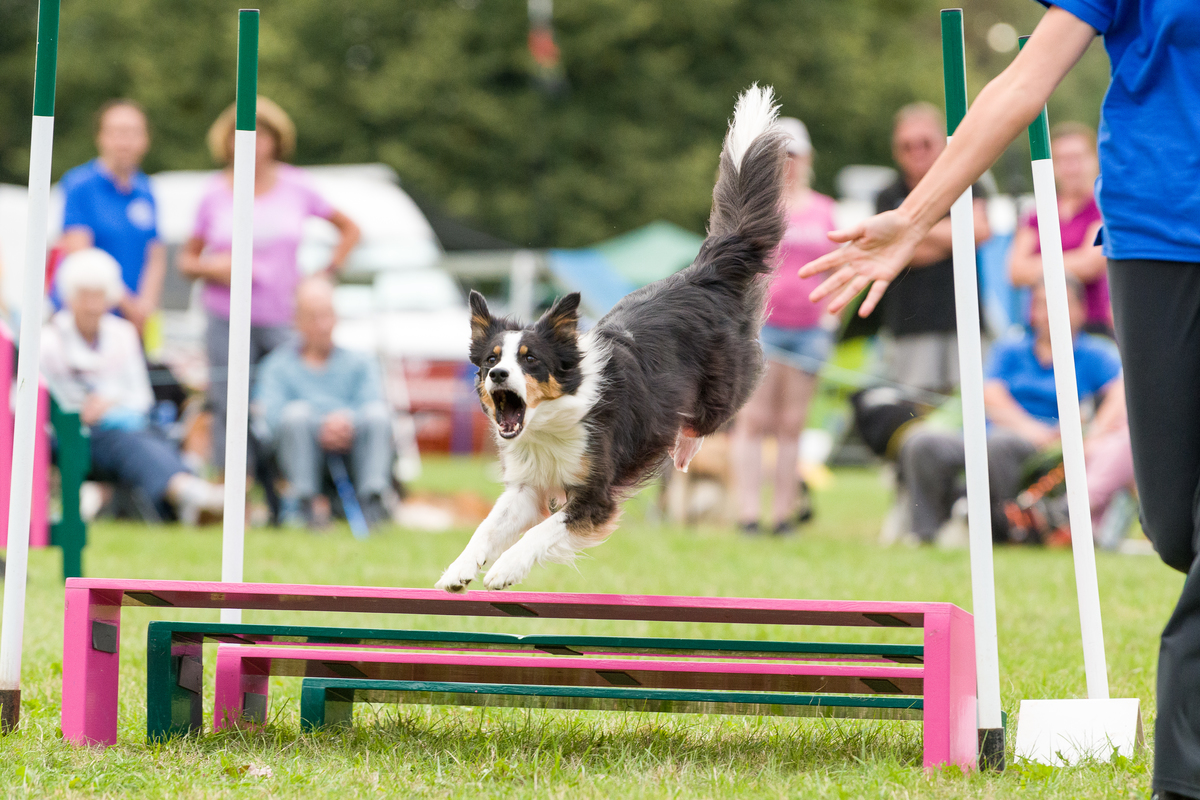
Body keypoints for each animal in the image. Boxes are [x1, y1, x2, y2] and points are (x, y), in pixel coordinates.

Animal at [436, 86, 792, 594]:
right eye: (491, 361)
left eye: (530, 360)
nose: (499, 376)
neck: (552, 422)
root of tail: (703, 273)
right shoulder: (528, 485)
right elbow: (488, 525)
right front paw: (460, 569)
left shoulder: (596, 495)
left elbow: (543, 530)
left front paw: (505, 568)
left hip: (726, 385)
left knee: (708, 421)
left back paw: (684, 446)